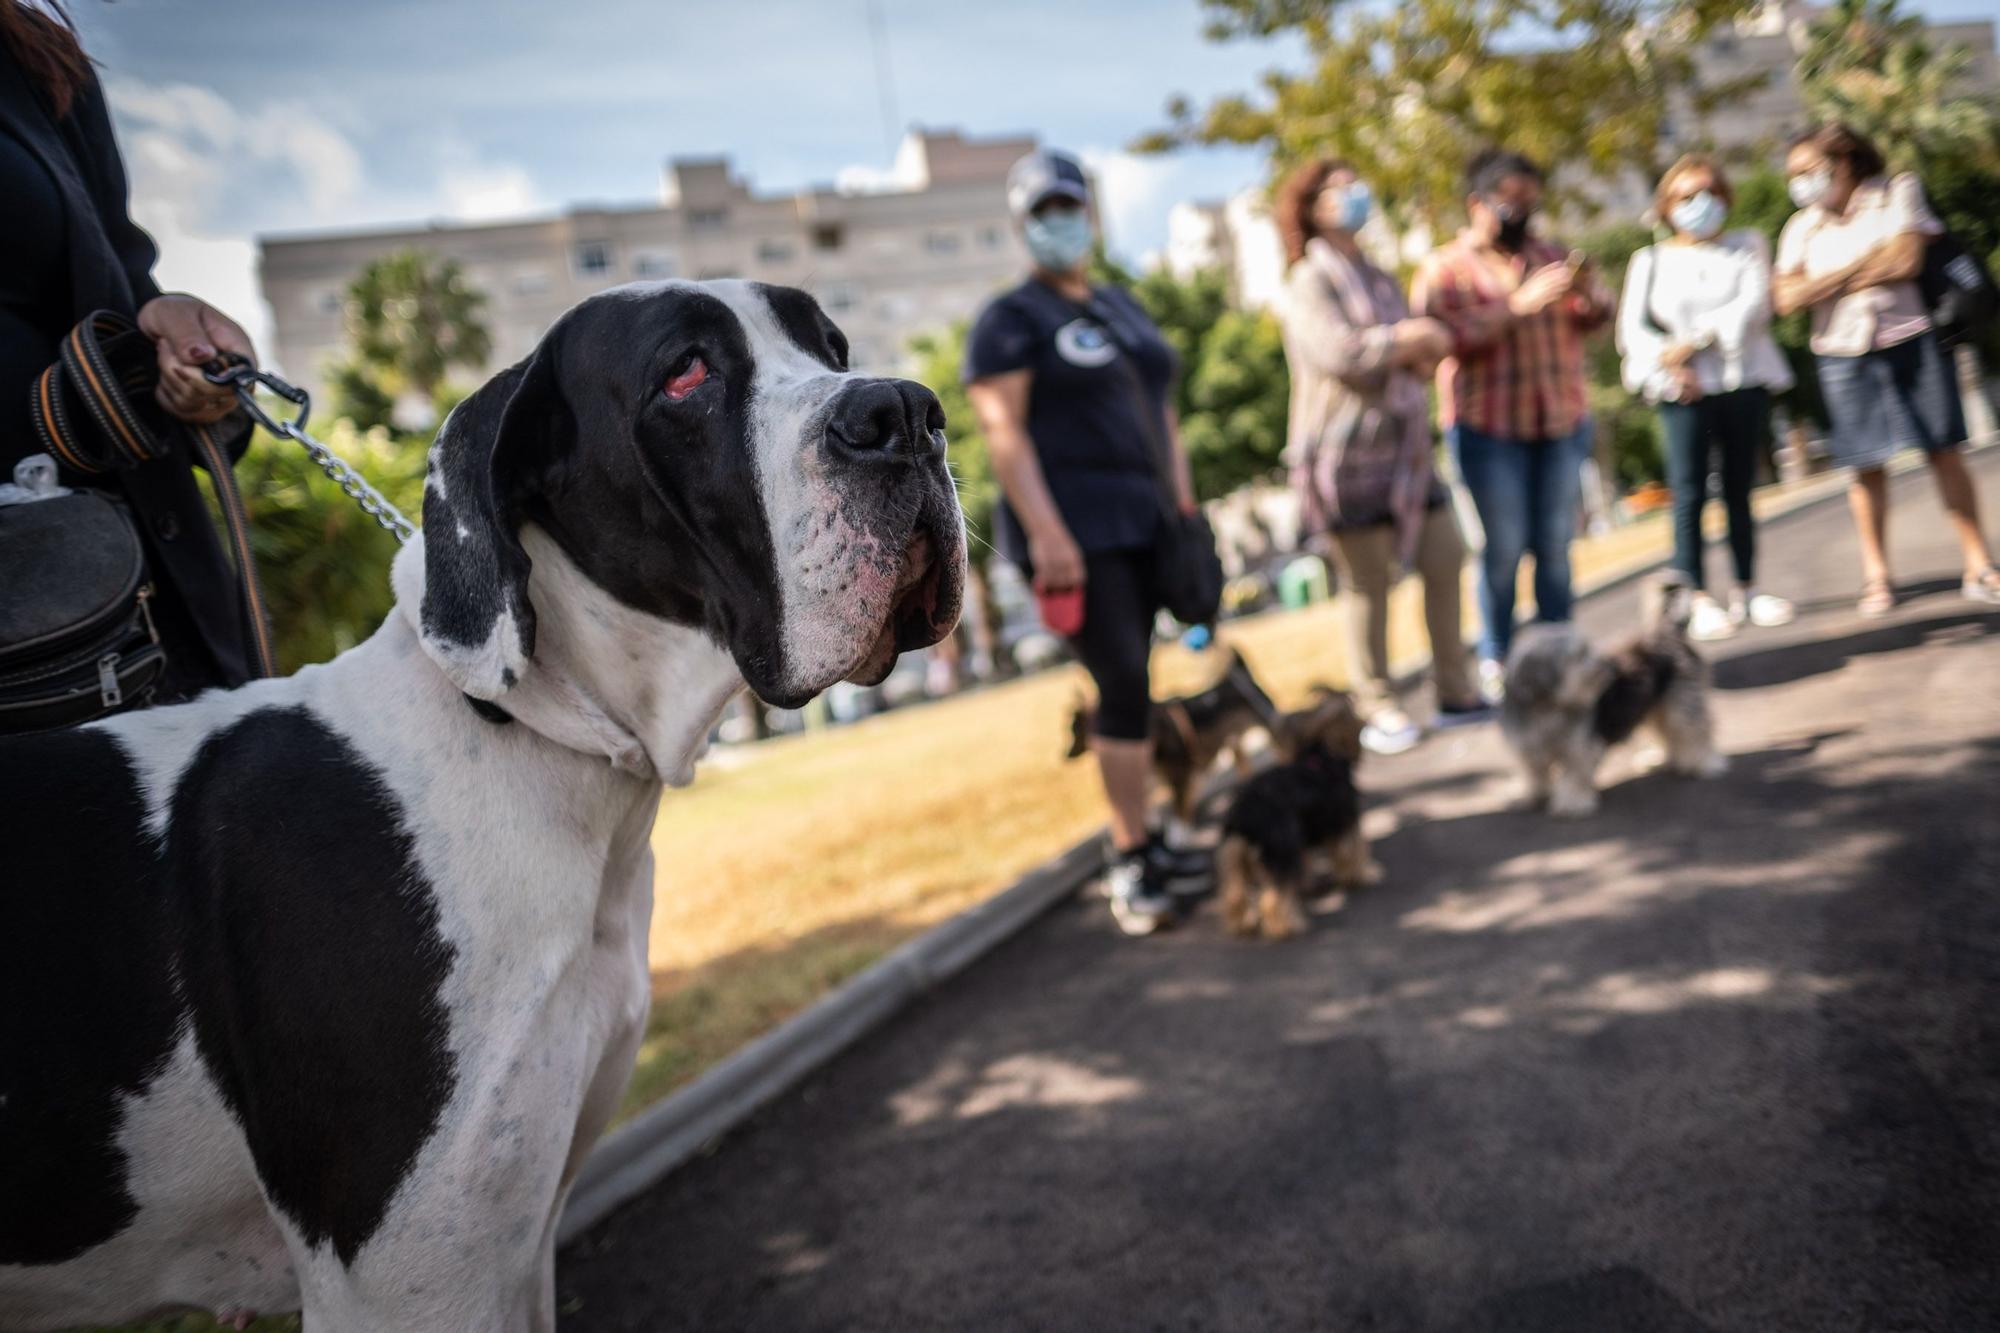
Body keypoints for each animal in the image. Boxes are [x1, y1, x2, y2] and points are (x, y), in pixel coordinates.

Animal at [1216, 684, 1376, 932]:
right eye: (1353, 719)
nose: (1364, 721)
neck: (1318, 755)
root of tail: (1244, 815)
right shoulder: (1343, 821)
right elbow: (1353, 850)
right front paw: (1361, 875)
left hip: (1234, 854)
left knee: (1234, 894)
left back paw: (1241, 925)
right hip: (1281, 850)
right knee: (1273, 899)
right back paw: (1288, 926)